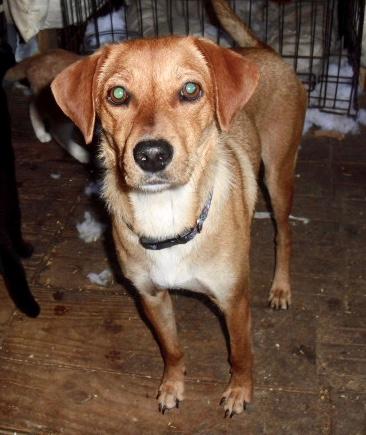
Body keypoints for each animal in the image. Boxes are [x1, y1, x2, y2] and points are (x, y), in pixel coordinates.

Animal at [50, 0, 306, 418]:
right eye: (117, 94)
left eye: (190, 89)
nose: (152, 154)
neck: (166, 217)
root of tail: (261, 50)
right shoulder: (151, 297)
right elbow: (172, 349)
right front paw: (172, 386)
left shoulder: (234, 302)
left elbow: (241, 355)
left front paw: (239, 391)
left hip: (278, 175)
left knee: (284, 234)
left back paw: (281, 288)